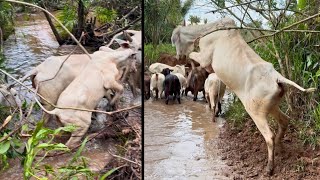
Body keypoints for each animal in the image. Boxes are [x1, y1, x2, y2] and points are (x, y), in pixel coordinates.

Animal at [171, 17, 316, 175]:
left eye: (174, 40)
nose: (178, 56)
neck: (209, 29)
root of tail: (277, 78)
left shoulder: (204, 58)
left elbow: (193, 56)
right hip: (272, 106)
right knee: (284, 121)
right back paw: (280, 149)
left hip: (255, 111)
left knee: (269, 136)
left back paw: (269, 167)